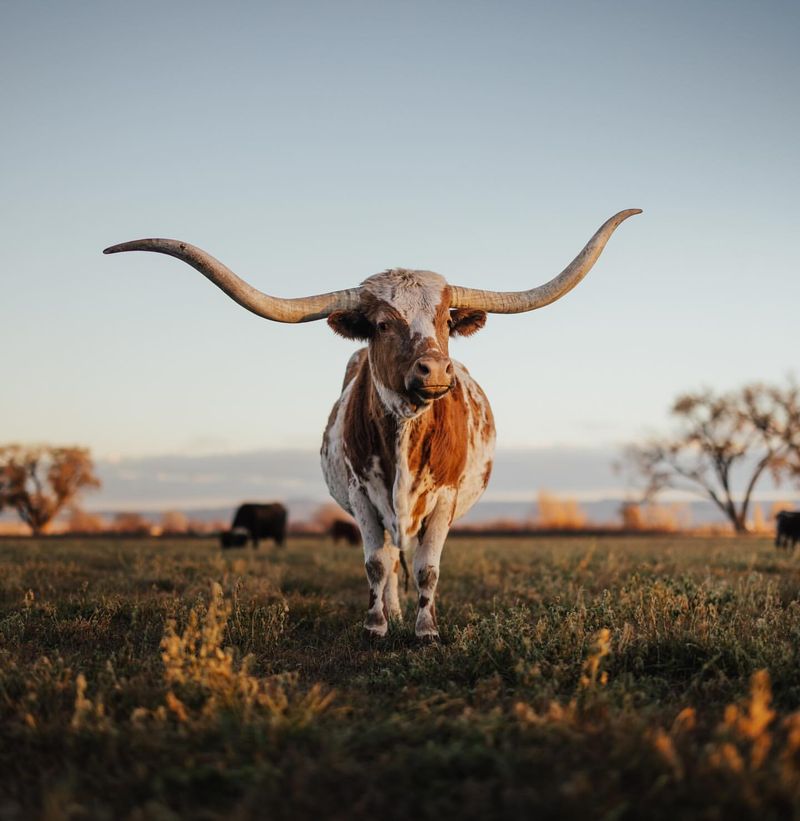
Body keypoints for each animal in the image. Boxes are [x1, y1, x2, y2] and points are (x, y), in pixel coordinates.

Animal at [104, 208, 636, 636]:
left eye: (445, 321)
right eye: (382, 324)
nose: (434, 370)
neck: (405, 432)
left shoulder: (444, 499)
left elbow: (427, 568)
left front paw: (426, 630)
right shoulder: (363, 497)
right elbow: (378, 564)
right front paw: (378, 625)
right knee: (394, 558)